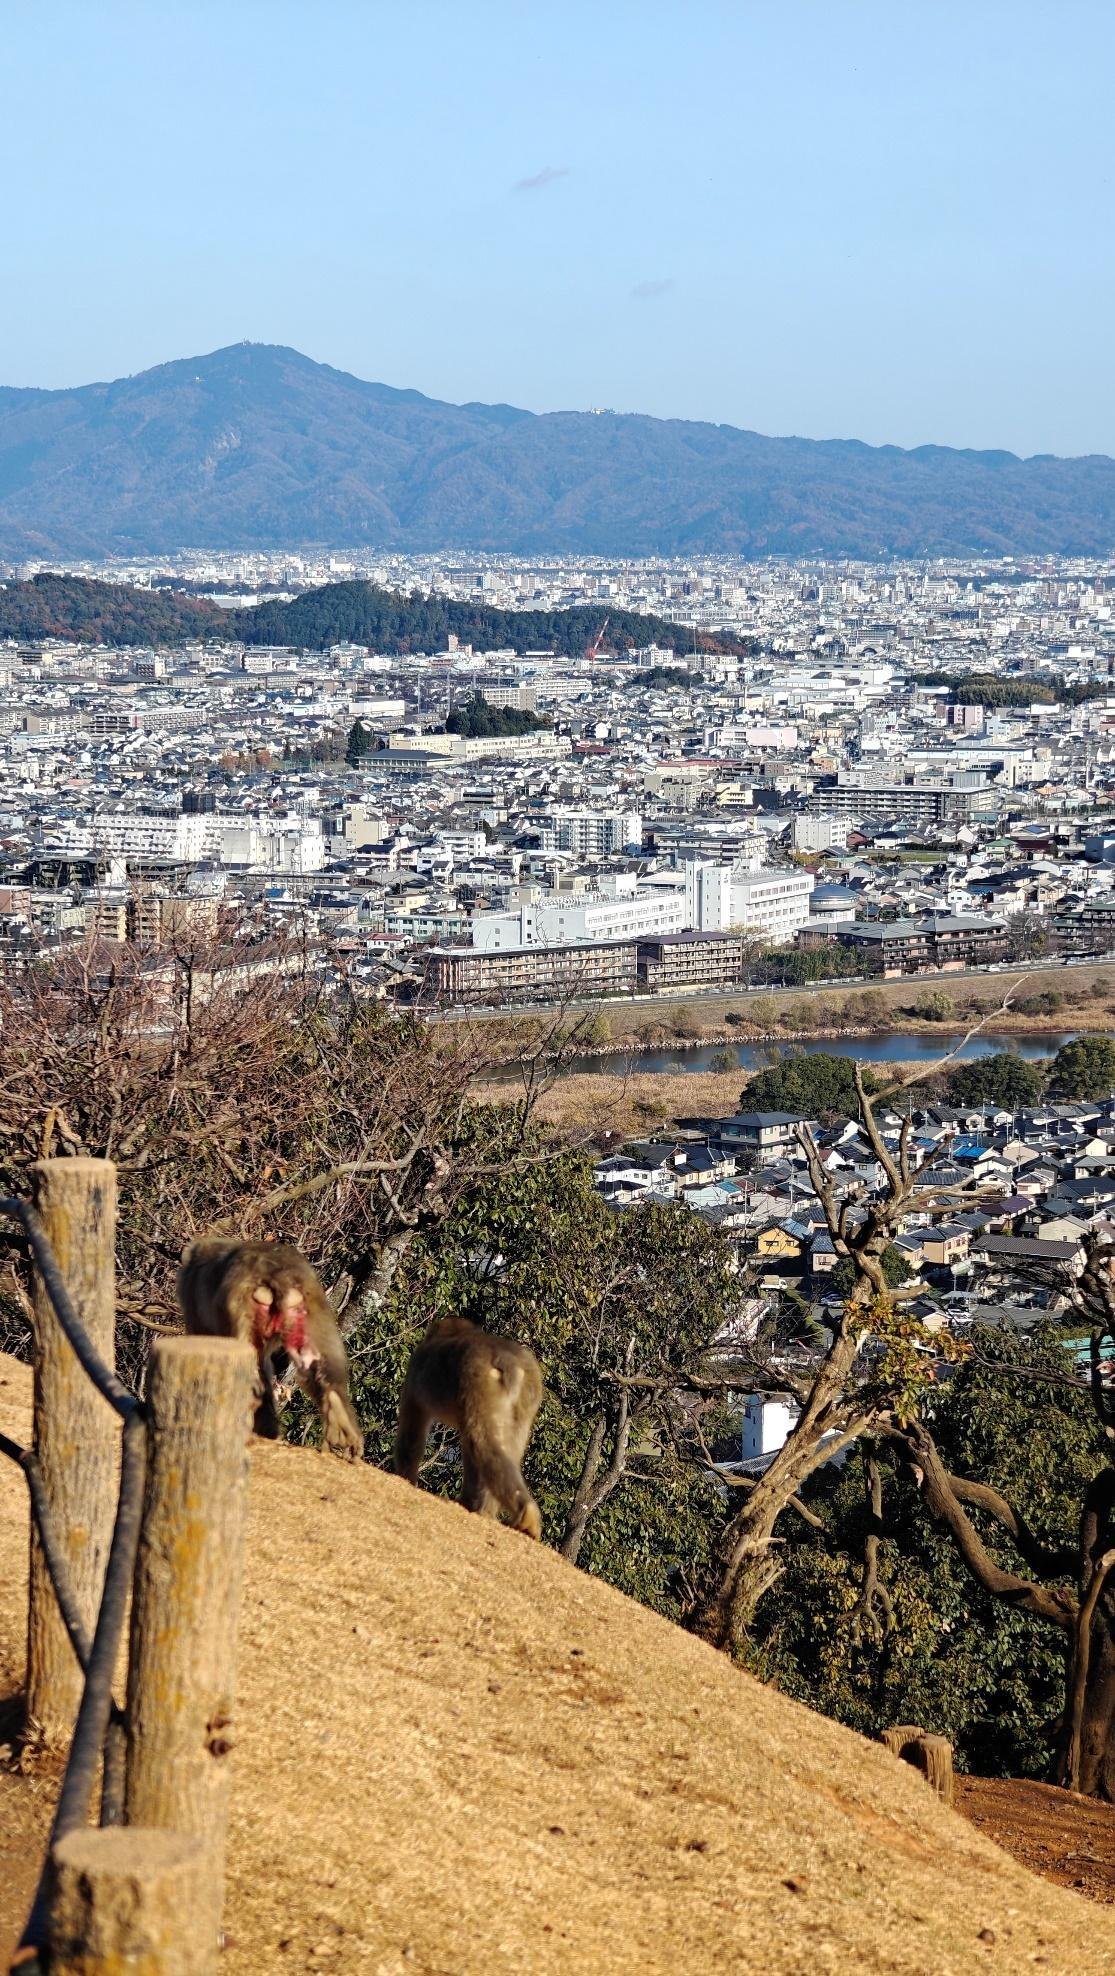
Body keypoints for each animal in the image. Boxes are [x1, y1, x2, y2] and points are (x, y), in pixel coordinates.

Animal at [395, 1317, 543, 1538]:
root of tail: (510, 1361)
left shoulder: (415, 1372)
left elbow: (411, 1434)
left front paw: (405, 1479)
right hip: (528, 1392)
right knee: (504, 1445)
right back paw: (491, 1511)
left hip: (479, 1378)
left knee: (480, 1439)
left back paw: (523, 1513)